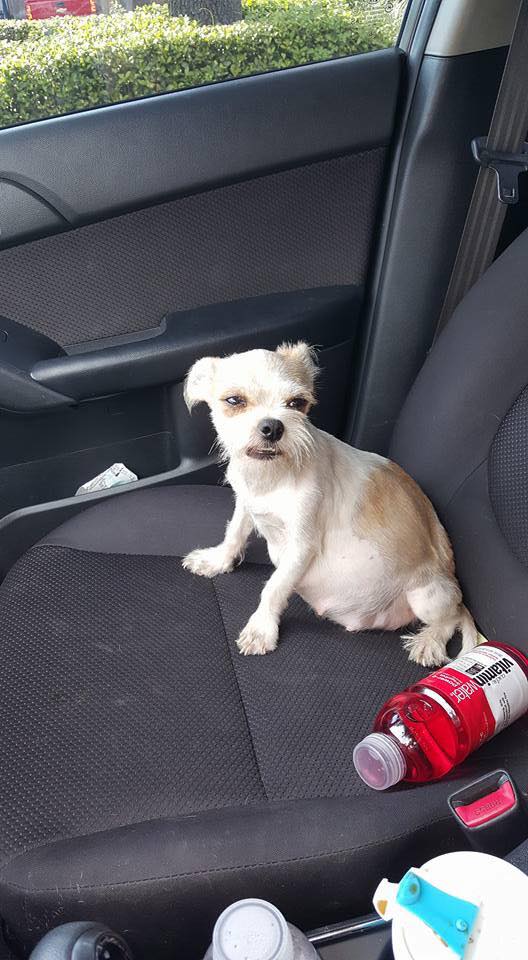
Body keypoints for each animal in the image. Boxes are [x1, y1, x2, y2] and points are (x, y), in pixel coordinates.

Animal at [182, 342, 474, 664]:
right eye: (234, 400)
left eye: (297, 403)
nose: (273, 427)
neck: (270, 478)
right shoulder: (246, 505)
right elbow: (234, 534)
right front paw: (216, 561)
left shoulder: (301, 546)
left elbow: (274, 586)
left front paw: (261, 628)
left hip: (427, 596)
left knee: (451, 618)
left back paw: (428, 641)